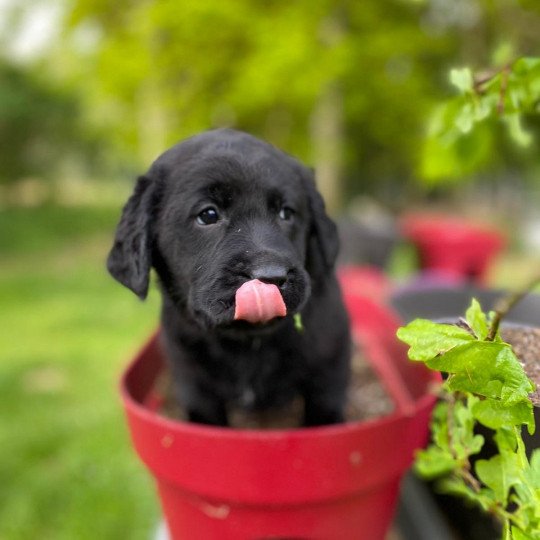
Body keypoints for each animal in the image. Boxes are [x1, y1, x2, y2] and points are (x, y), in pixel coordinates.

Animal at [108, 129, 352, 428]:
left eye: (286, 213)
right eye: (208, 215)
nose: (271, 276)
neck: (246, 343)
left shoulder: (330, 367)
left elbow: (323, 417)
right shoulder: (194, 382)